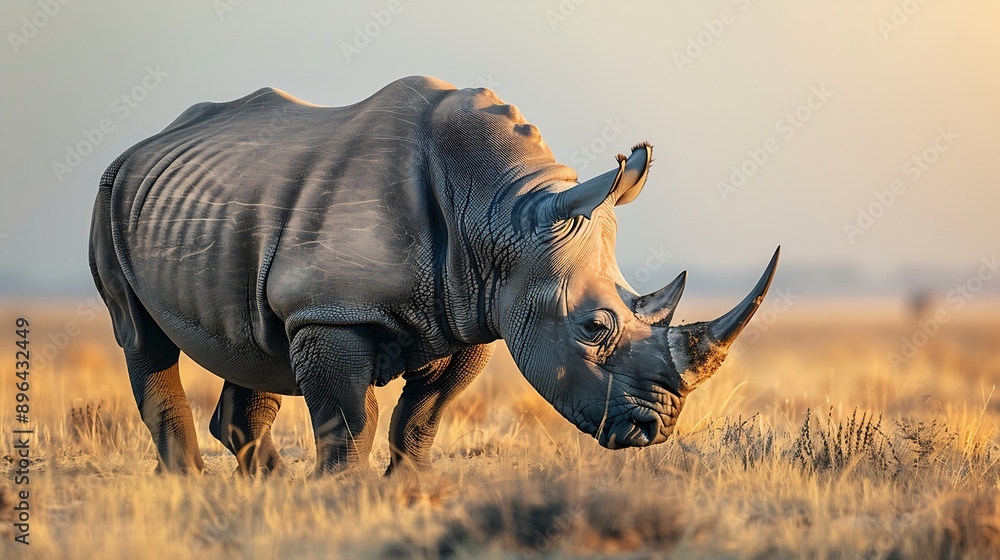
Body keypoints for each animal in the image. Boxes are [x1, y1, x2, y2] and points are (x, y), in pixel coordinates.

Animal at [89, 76, 779, 476]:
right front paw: (339, 497)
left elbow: (423, 416)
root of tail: (147, 142)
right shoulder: (331, 311)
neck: (504, 212)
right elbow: (351, 418)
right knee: (141, 337)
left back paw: (266, 488)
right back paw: (193, 488)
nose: (653, 429)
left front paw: (409, 493)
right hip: (109, 188)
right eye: (593, 327)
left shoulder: (474, 312)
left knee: (254, 346)